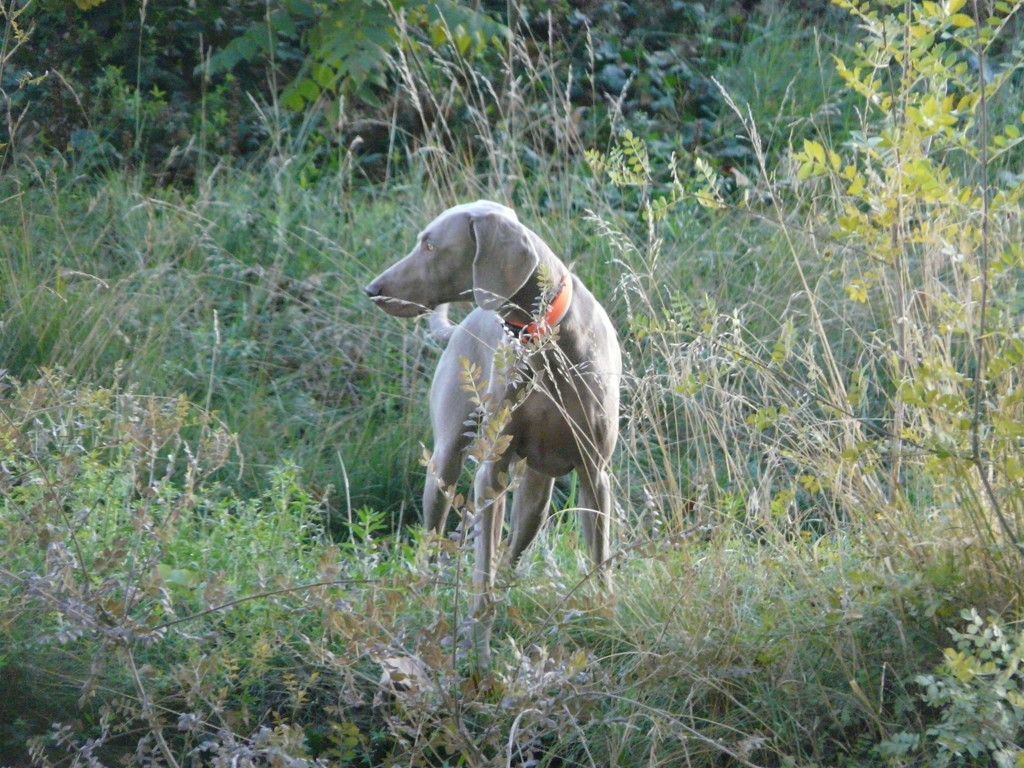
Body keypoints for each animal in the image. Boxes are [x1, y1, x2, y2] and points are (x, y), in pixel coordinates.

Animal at [368, 201, 622, 663]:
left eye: (430, 245)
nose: (373, 290)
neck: (543, 338)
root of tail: (462, 326)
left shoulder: (595, 473)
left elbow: (600, 560)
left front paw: (606, 620)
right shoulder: (492, 472)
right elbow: (480, 577)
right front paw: (478, 654)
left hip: (537, 496)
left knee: (511, 555)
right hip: (445, 466)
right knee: (433, 542)